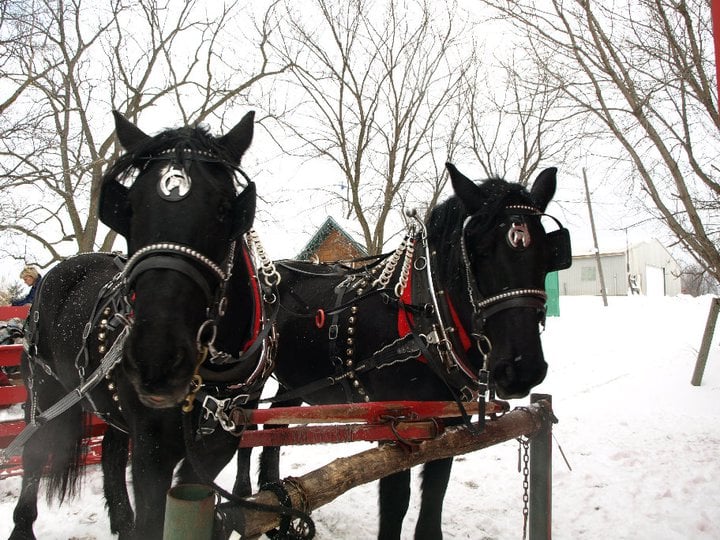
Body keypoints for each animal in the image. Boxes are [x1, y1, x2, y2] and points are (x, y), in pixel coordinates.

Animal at [6, 111, 276, 540]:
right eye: (129, 207)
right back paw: (24, 525)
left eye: (224, 209)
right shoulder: (152, 448)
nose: (156, 360)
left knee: (111, 456)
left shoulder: (216, 444)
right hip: (43, 389)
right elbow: (154, 518)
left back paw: (121, 520)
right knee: (35, 454)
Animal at [254, 163, 571, 539]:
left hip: (292, 380)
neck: (424, 313)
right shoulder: (394, 431)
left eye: (549, 255)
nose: (523, 369)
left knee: (273, 425)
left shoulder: (446, 424)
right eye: (479, 253)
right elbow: (396, 505)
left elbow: (433, 503)